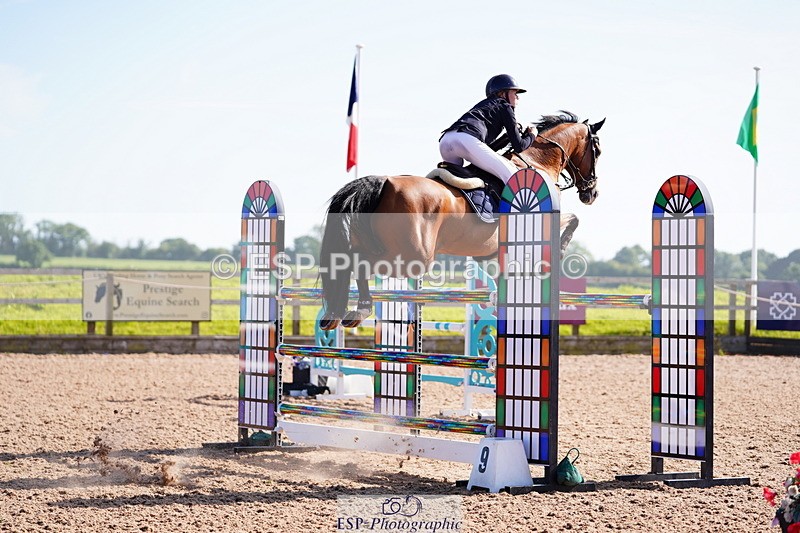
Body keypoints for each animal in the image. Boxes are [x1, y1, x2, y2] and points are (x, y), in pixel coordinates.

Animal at [318, 111, 604, 330]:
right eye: (597, 150)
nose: (591, 193)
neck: (538, 162)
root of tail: (384, 181)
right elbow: (573, 219)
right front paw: (560, 249)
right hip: (413, 258)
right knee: (358, 262)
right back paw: (359, 310)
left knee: (349, 259)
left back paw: (345, 313)